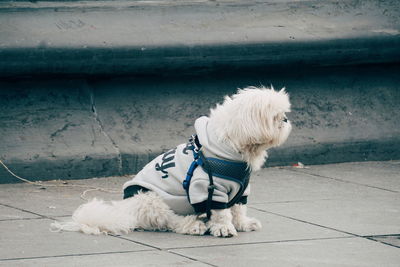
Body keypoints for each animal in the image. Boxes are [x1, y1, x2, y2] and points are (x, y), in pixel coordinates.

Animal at [51, 87, 292, 239]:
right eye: (274, 117)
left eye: (283, 114)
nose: (286, 119)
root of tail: (127, 209)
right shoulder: (208, 188)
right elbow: (221, 212)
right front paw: (223, 228)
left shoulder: (242, 189)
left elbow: (238, 209)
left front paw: (242, 223)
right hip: (153, 201)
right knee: (170, 222)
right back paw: (193, 225)